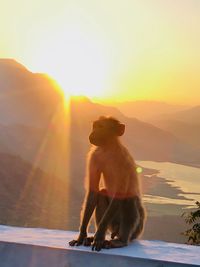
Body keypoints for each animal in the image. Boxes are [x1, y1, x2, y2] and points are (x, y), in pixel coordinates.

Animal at [69, 116, 145, 251]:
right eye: (94, 126)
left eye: (101, 127)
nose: (92, 133)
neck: (108, 149)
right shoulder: (94, 156)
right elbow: (93, 191)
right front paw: (82, 235)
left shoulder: (123, 161)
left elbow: (120, 194)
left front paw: (99, 236)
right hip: (113, 224)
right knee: (102, 193)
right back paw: (94, 238)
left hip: (137, 229)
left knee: (129, 198)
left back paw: (121, 241)